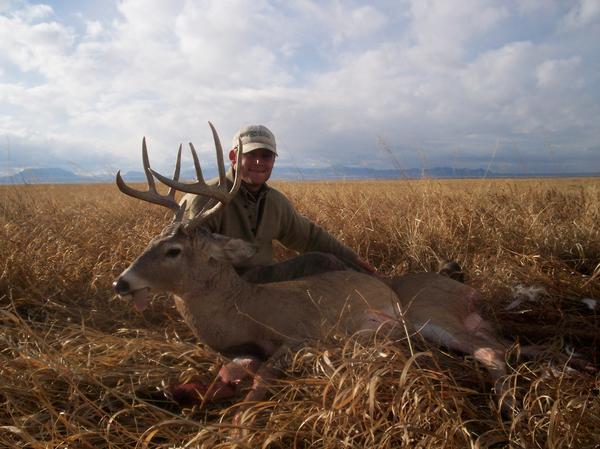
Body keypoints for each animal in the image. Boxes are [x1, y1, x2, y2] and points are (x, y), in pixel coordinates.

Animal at [111, 121, 584, 422]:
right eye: (149, 244)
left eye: (172, 250)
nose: (121, 282)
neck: (243, 308)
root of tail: (465, 290)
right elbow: (223, 379)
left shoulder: (304, 337)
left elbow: (261, 380)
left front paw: (240, 425)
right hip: (462, 320)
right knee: (510, 345)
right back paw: (570, 365)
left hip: (428, 315)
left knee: (491, 352)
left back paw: (511, 410)